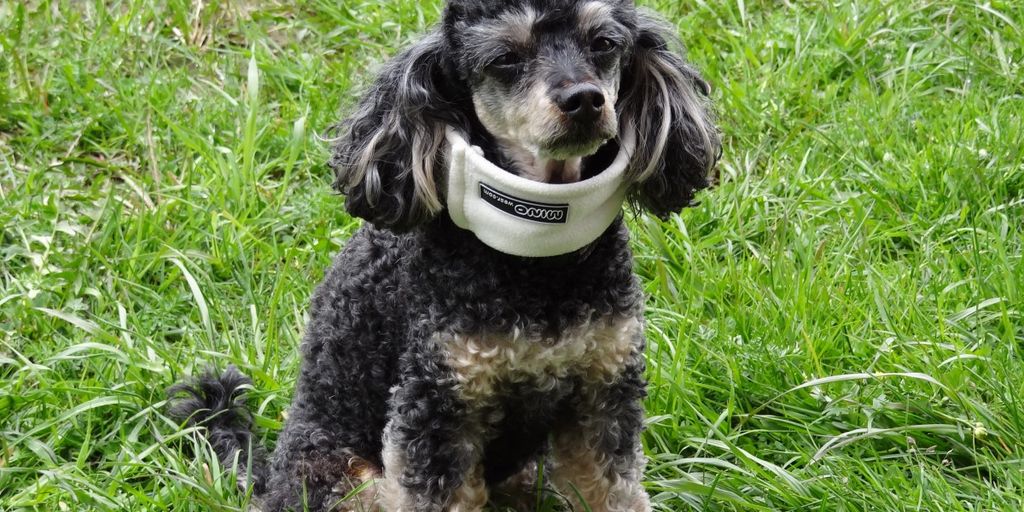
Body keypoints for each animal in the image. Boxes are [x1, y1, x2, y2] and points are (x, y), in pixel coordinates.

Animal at [169, 2, 720, 509]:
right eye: (505, 58)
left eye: (604, 43)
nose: (584, 99)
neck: (538, 262)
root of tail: (269, 479)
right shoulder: (436, 408)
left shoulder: (603, 393)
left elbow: (613, 490)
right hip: (345, 479)